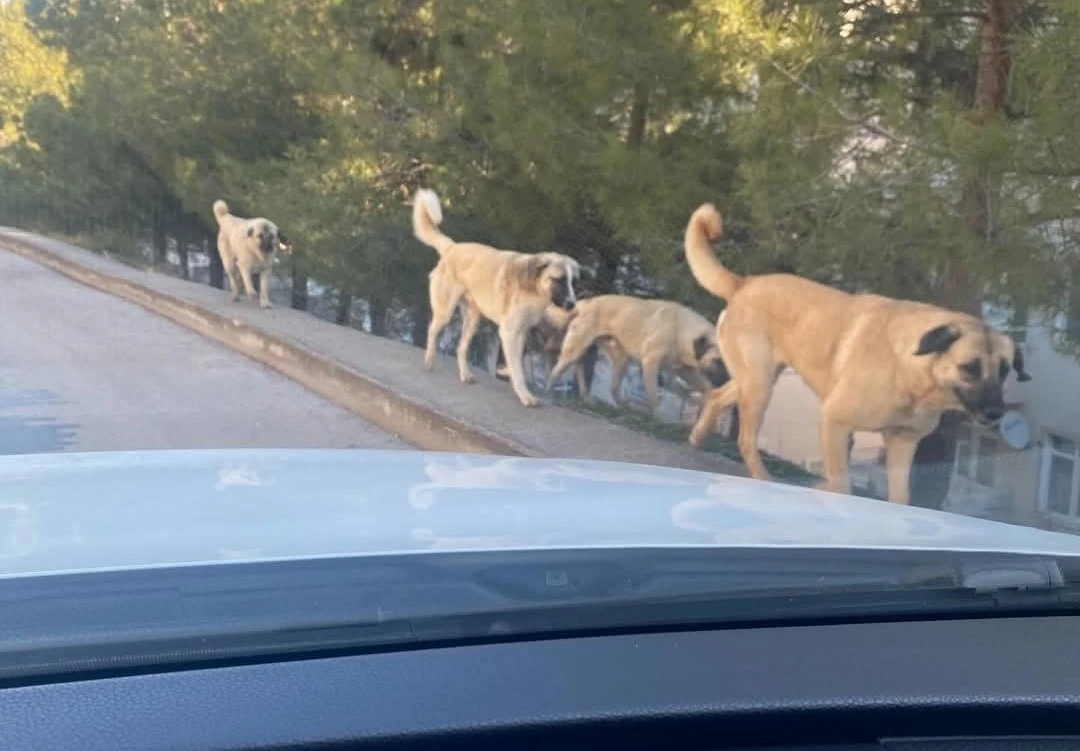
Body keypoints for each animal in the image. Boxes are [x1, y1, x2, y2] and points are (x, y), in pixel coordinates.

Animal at [410, 191, 583, 408]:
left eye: (573, 282)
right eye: (558, 279)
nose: (571, 304)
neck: (533, 288)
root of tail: (452, 247)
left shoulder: (521, 331)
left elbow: (518, 362)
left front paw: (507, 372)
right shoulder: (510, 331)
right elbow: (518, 368)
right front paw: (524, 394)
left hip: (473, 320)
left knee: (461, 348)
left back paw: (465, 375)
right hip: (445, 311)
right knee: (433, 330)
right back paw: (429, 359)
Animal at [544, 293, 730, 414]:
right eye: (718, 361)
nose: (729, 381)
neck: (682, 331)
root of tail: (586, 303)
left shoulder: (685, 371)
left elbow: (704, 387)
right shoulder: (650, 364)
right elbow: (653, 395)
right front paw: (656, 417)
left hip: (621, 359)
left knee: (609, 384)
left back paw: (614, 404)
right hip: (575, 350)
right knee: (557, 370)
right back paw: (549, 393)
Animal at [682, 203, 1028, 505]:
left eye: (1004, 371)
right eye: (970, 367)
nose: (997, 412)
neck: (911, 373)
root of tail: (744, 282)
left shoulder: (903, 444)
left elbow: (900, 498)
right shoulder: (835, 424)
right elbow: (841, 485)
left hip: (756, 379)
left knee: (717, 396)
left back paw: (697, 439)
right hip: (760, 385)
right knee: (745, 439)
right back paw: (762, 479)